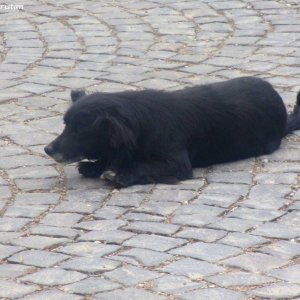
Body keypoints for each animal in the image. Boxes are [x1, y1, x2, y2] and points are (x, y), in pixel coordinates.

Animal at [44, 76, 300, 186]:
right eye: (65, 125)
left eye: (79, 130)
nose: (47, 149)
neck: (143, 123)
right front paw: (96, 166)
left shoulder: (177, 164)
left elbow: (141, 166)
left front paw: (119, 174)